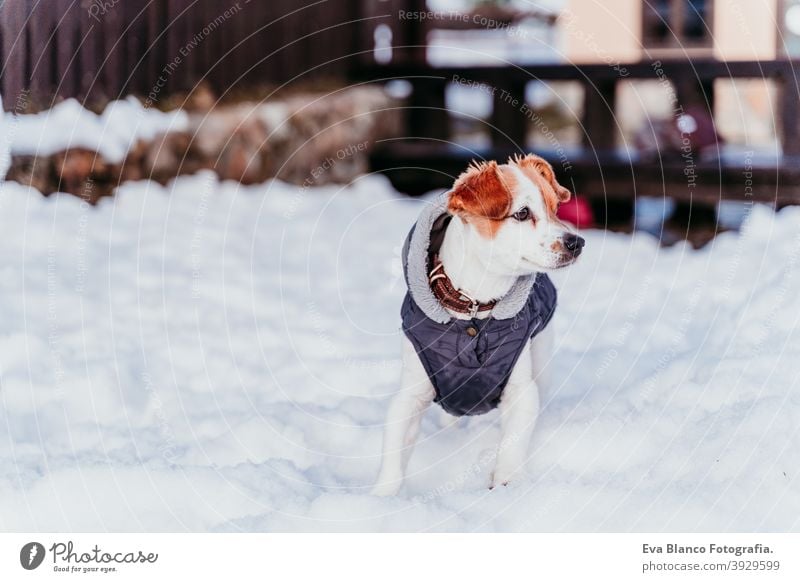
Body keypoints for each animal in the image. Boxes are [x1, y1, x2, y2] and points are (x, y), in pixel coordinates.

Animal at [372, 155, 584, 498]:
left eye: (555, 208)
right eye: (522, 213)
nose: (576, 242)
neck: (476, 307)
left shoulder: (522, 391)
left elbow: (513, 443)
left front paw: (507, 482)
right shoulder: (410, 395)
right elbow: (394, 450)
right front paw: (383, 497)